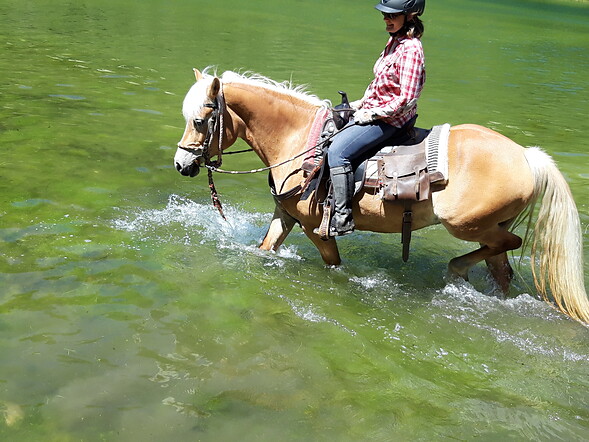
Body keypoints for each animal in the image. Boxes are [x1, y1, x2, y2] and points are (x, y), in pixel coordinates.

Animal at [172, 68, 584, 324]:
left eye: (200, 120)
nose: (181, 164)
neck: (300, 141)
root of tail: (526, 157)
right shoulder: (286, 216)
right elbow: (263, 250)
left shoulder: (315, 229)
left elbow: (333, 263)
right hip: (489, 226)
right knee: (502, 268)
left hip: (469, 225)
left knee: (508, 244)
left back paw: (456, 269)